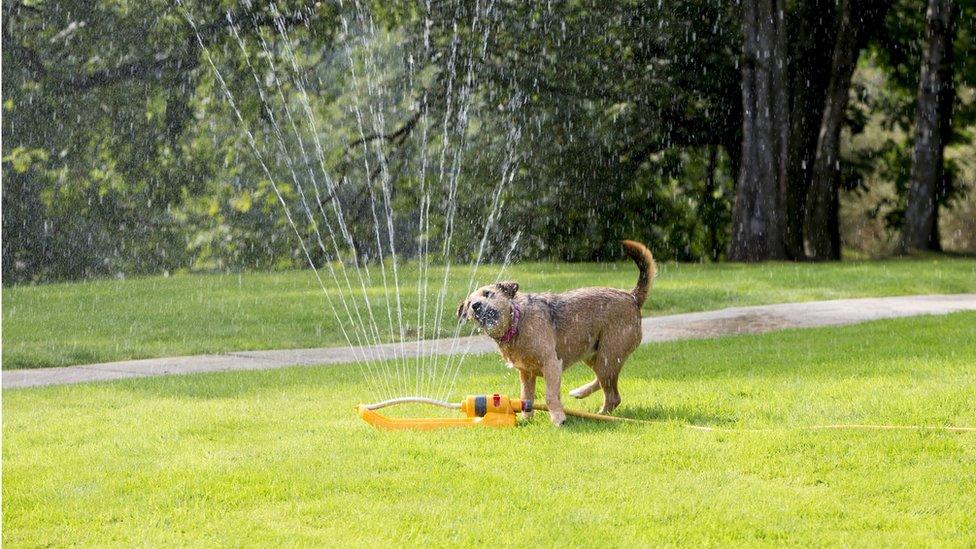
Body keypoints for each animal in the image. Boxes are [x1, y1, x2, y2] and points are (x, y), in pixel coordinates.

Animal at [458, 239, 656, 424]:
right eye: (468, 303)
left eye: (487, 293)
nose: (475, 306)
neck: (517, 323)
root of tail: (631, 297)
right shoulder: (526, 373)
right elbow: (526, 397)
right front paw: (526, 419)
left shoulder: (551, 364)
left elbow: (550, 396)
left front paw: (558, 418)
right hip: (593, 355)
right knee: (605, 384)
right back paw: (580, 393)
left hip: (607, 356)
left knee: (613, 396)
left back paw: (600, 415)